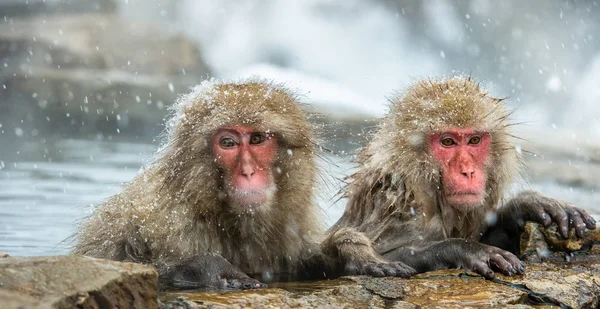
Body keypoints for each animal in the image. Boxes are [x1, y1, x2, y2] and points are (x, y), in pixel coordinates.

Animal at [72, 77, 414, 288]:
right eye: (228, 143)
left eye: (258, 139)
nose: (248, 172)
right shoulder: (162, 222)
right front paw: (214, 268)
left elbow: (303, 263)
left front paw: (357, 254)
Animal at [326, 77, 596, 280]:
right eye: (448, 142)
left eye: (474, 140)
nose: (468, 171)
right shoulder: (398, 206)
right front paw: (464, 249)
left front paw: (527, 205)